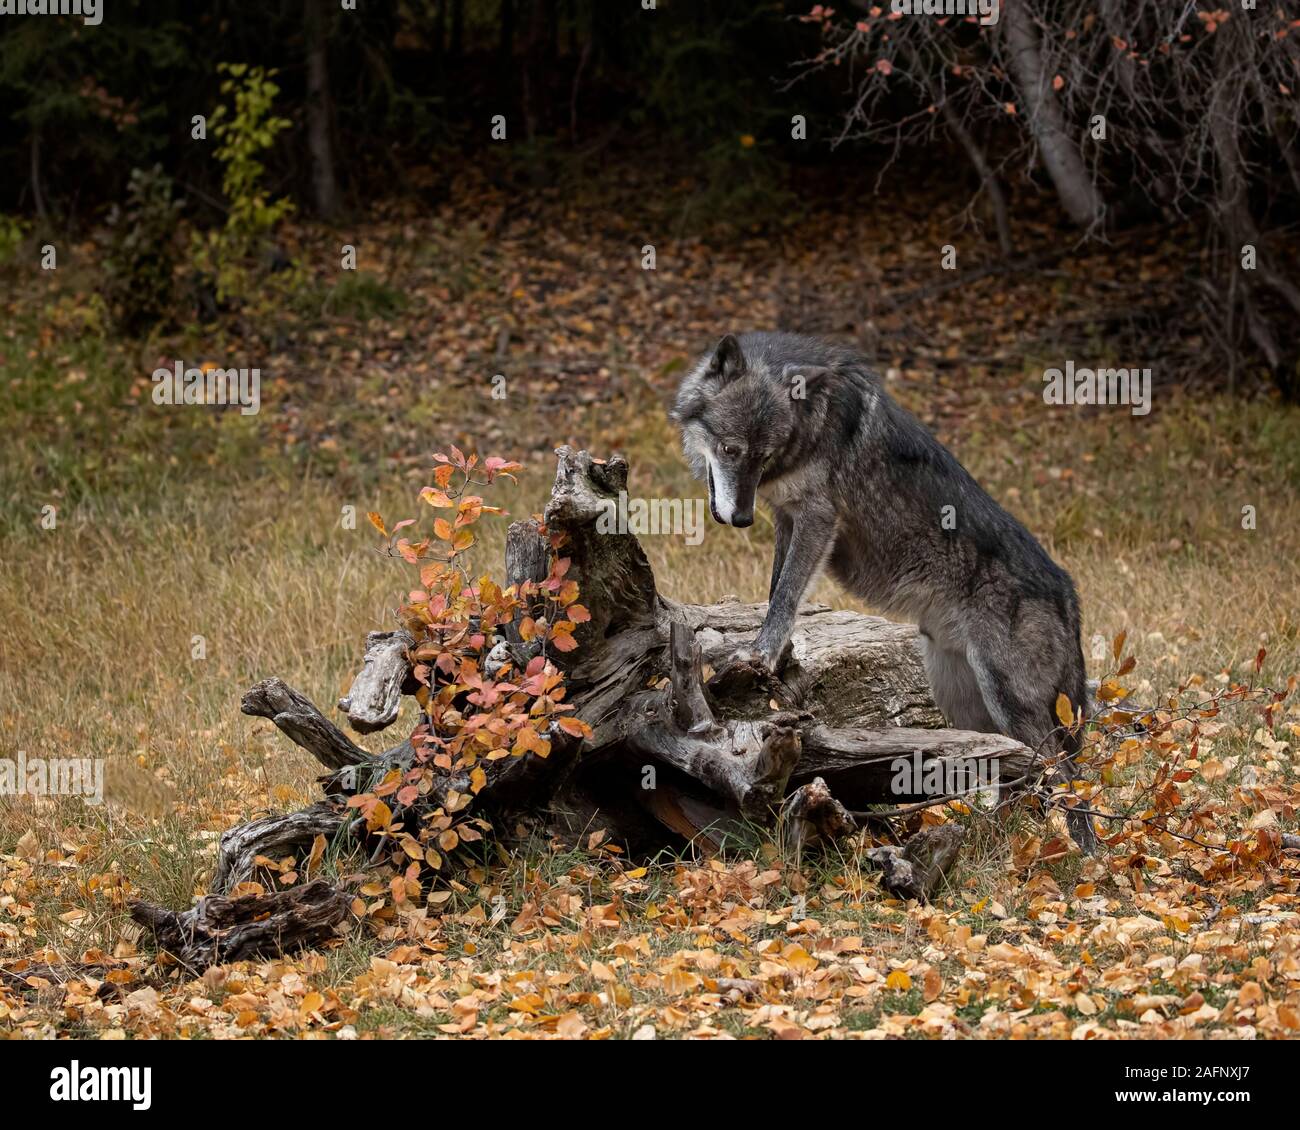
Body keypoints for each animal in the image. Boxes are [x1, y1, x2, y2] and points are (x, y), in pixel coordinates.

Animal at [676, 330, 1092, 842]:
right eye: (731, 450)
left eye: (764, 456)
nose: (741, 519)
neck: (814, 419)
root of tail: (1068, 592)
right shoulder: (787, 517)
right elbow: (777, 592)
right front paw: (775, 655)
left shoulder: (817, 517)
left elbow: (787, 596)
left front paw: (760, 655)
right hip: (964, 704)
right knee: (1012, 771)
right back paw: (996, 837)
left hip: (1008, 700)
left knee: (1065, 776)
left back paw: (1080, 852)